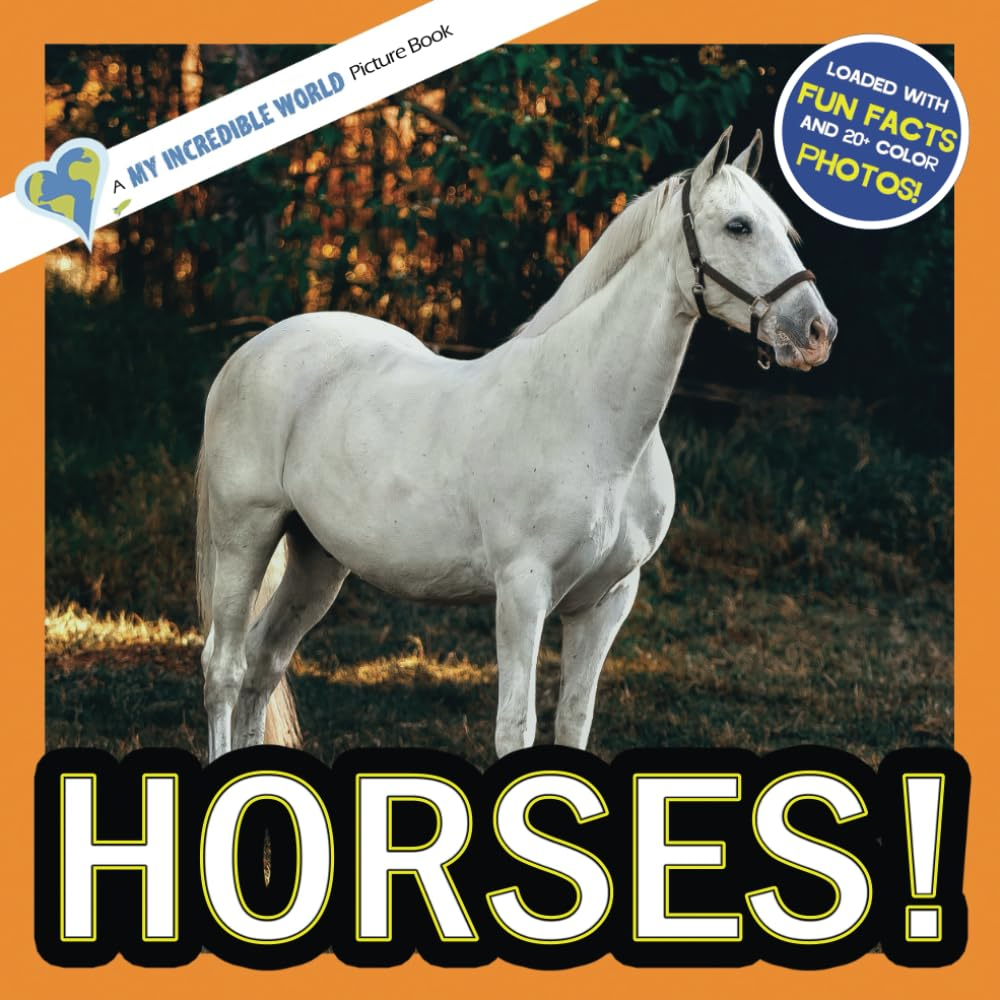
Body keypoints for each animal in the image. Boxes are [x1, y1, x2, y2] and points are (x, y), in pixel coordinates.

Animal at [196, 127, 837, 762]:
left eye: (785, 230)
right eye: (738, 226)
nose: (817, 332)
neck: (591, 418)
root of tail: (249, 353)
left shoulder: (606, 601)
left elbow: (574, 719)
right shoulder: (523, 591)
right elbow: (516, 727)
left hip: (317, 558)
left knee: (265, 662)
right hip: (245, 537)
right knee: (225, 667)